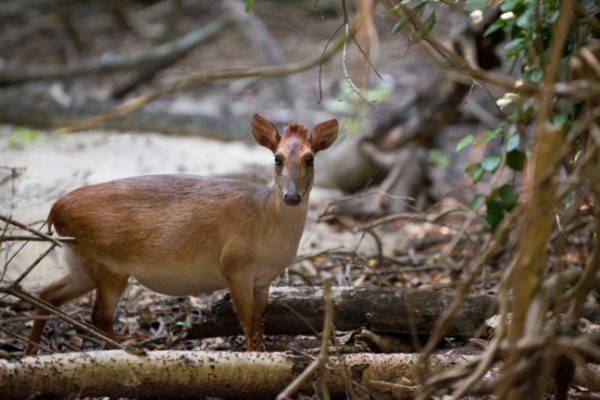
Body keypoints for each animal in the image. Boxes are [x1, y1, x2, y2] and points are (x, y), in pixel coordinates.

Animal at [25, 112, 338, 354]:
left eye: (310, 158)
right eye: (277, 158)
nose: (292, 196)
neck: (265, 223)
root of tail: (55, 210)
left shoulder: (264, 279)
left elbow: (260, 323)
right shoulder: (235, 266)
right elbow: (248, 323)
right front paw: (253, 358)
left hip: (81, 260)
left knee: (47, 294)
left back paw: (31, 354)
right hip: (108, 263)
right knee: (99, 315)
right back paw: (129, 351)